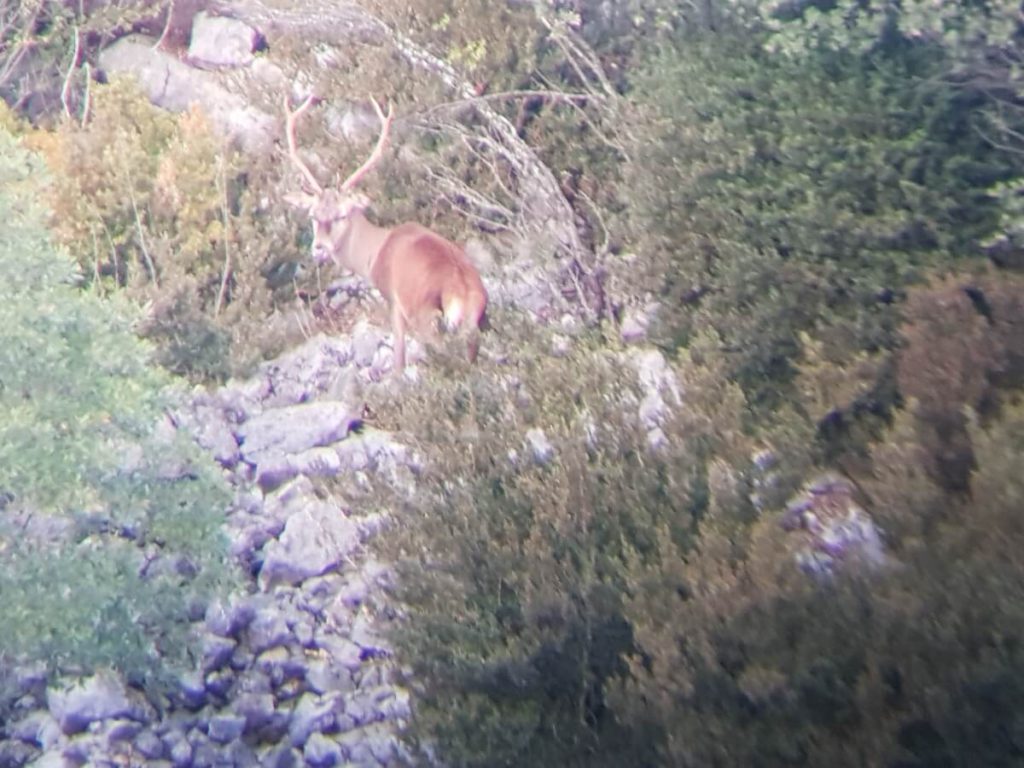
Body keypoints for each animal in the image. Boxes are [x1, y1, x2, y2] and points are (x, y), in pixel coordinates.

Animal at [280, 91, 487, 374]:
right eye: (313, 216)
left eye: (342, 215)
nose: (319, 249)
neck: (374, 253)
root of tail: (463, 292)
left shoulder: (394, 303)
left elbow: (398, 363)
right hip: (474, 326)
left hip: (426, 317)